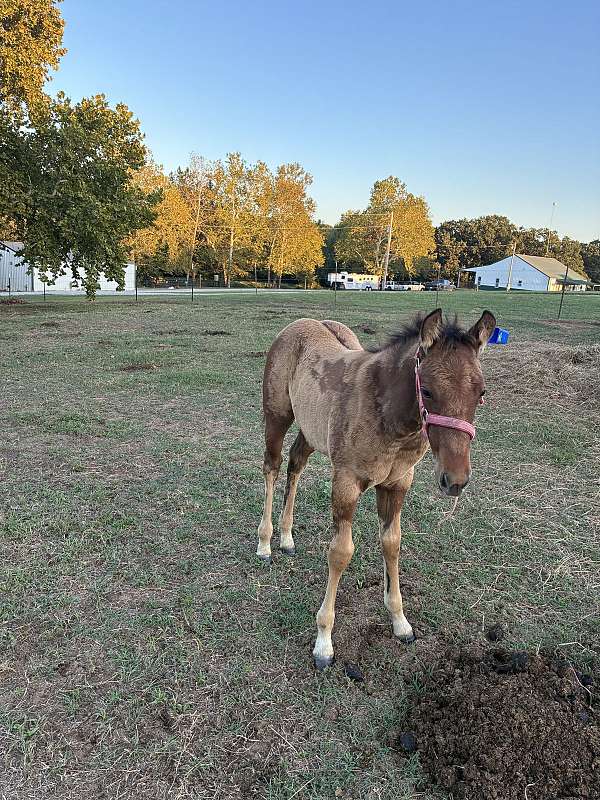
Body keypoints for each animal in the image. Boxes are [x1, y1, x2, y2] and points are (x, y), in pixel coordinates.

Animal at [256, 308, 497, 669]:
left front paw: (401, 623)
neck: (388, 416)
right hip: (277, 415)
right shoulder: (346, 482)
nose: (455, 480)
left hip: (312, 429)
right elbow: (341, 553)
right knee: (272, 466)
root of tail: (299, 325)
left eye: (480, 393)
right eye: (427, 391)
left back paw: (286, 538)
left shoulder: (398, 483)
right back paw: (265, 543)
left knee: (295, 464)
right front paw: (324, 643)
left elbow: (392, 544)